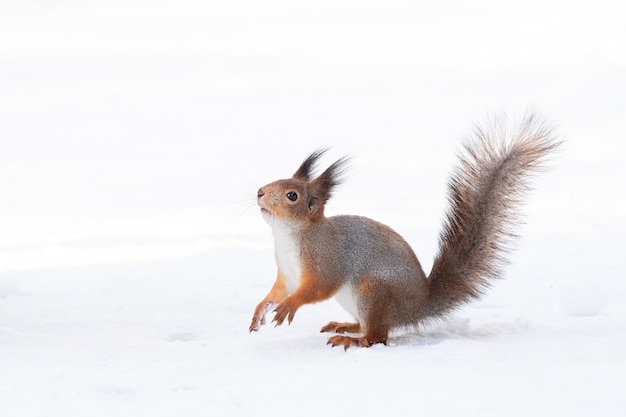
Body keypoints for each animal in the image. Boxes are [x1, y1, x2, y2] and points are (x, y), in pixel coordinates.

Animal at [246, 114, 560, 348]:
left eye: (292, 196)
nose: (259, 192)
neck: (288, 236)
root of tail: (418, 307)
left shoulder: (327, 259)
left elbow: (317, 287)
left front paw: (289, 306)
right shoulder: (288, 273)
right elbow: (278, 291)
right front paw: (260, 310)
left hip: (373, 292)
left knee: (378, 337)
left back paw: (353, 340)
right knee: (369, 328)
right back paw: (346, 326)